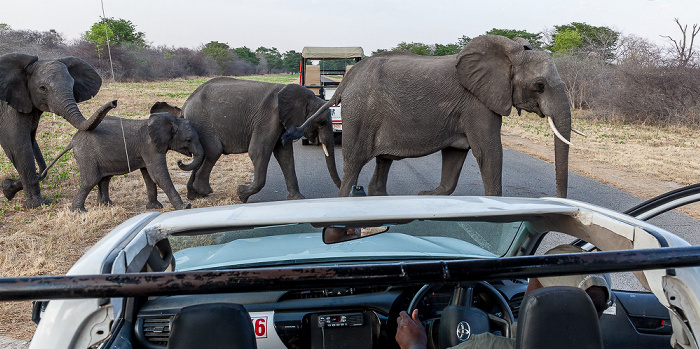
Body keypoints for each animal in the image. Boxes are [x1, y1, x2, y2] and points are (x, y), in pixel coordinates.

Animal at [0, 52, 110, 208]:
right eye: (43, 88)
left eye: (73, 85)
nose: (114, 103)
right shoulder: (8, 109)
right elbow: (18, 146)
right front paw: (36, 205)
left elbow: (30, 142)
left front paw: (7, 189)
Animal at [43, 102, 202, 212]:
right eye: (188, 140)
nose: (180, 161)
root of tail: (73, 140)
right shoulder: (150, 147)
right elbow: (158, 175)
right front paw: (185, 207)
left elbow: (149, 177)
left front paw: (154, 207)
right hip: (85, 154)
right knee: (90, 180)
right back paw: (79, 212)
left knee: (104, 179)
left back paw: (106, 205)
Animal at [182, 76, 340, 201]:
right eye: (322, 123)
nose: (342, 191)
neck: (307, 97)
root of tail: (187, 102)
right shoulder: (270, 116)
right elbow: (259, 151)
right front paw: (241, 194)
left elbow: (285, 154)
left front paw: (298, 199)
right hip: (201, 121)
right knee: (214, 151)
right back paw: (204, 191)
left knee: (203, 154)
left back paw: (194, 195)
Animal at [284, 36, 576, 198]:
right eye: (540, 85)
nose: (560, 200)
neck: (510, 52)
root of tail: (347, 78)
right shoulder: (476, 102)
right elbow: (488, 151)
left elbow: (457, 153)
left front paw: (427, 195)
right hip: (360, 113)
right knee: (354, 163)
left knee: (383, 161)